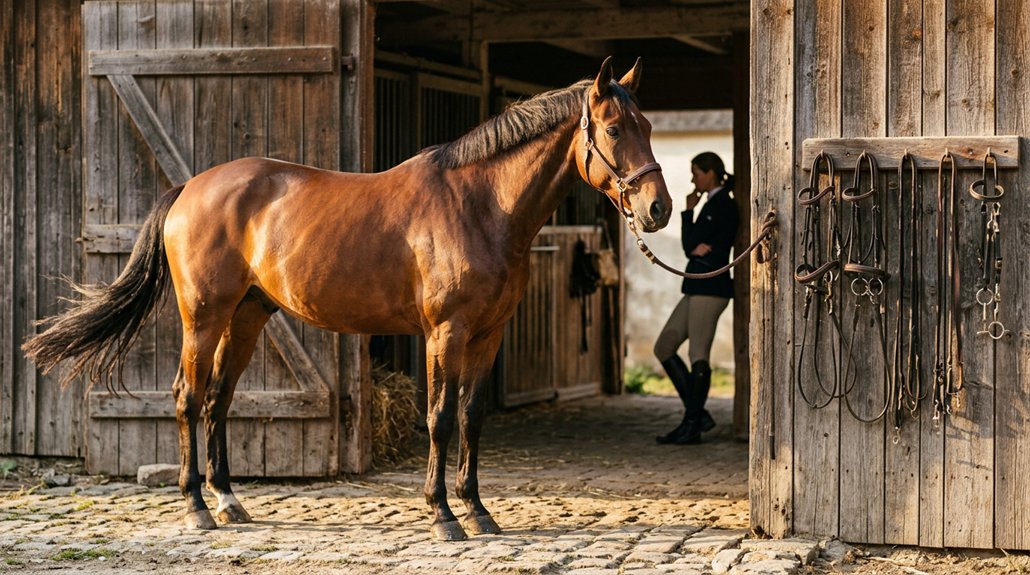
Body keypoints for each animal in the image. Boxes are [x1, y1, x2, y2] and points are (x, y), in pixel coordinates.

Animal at [23, 57, 671, 541]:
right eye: (615, 129)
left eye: (649, 126)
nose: (658, 209)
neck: (480, 205)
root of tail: (189, 187)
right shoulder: (447, 333)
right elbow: (439, 418)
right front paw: (442, 516)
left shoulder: (489, 335)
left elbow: (471, 416)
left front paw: (479, 511)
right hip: (202, 318)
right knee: (187, 397)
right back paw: (197, 509)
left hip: (246, 318)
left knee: (218, 401)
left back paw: (230, 501)